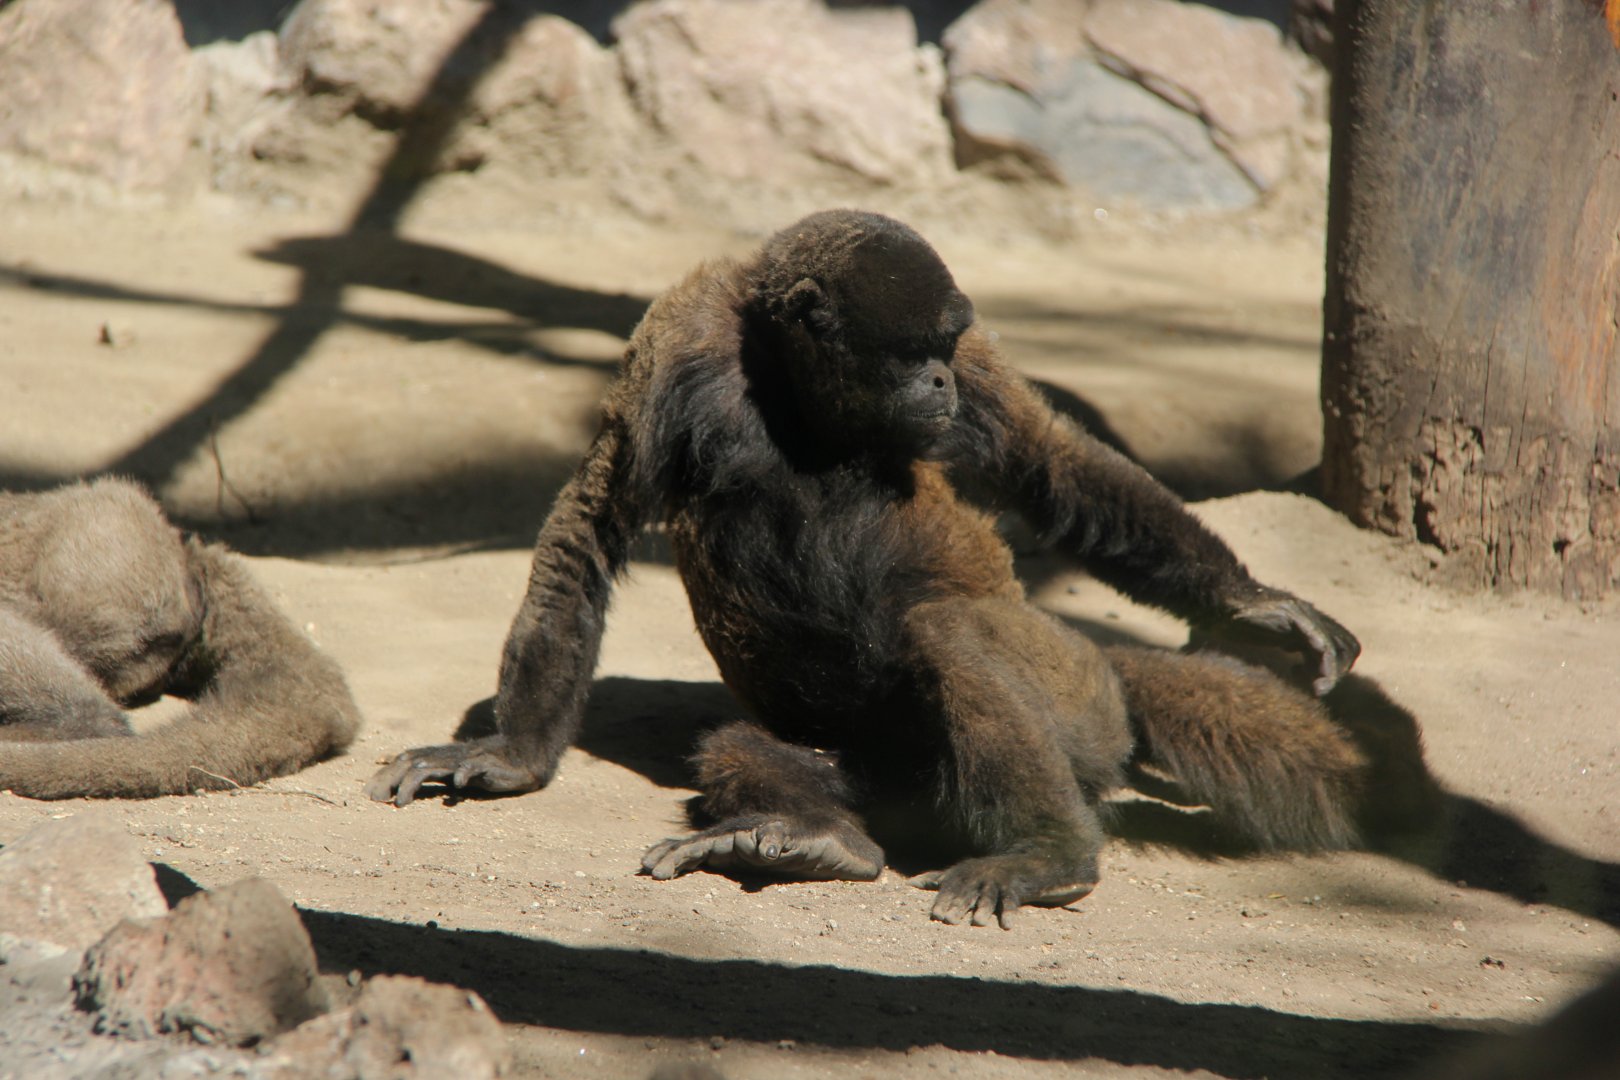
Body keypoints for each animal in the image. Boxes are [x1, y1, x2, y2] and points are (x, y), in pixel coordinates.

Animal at [367, 209, 1370, 928]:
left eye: (943, 350)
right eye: (910, 353)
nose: (941, 384)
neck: (793, 394)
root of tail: (1106, 667)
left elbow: (1051, 462)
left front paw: (1254, 604)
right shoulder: (677, 343)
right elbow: (590, 523)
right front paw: (511, 754)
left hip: (1071, 695)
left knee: (950, 624)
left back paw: (1051, 855)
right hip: (900, 774)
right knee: (743, 746)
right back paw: (821, 842)